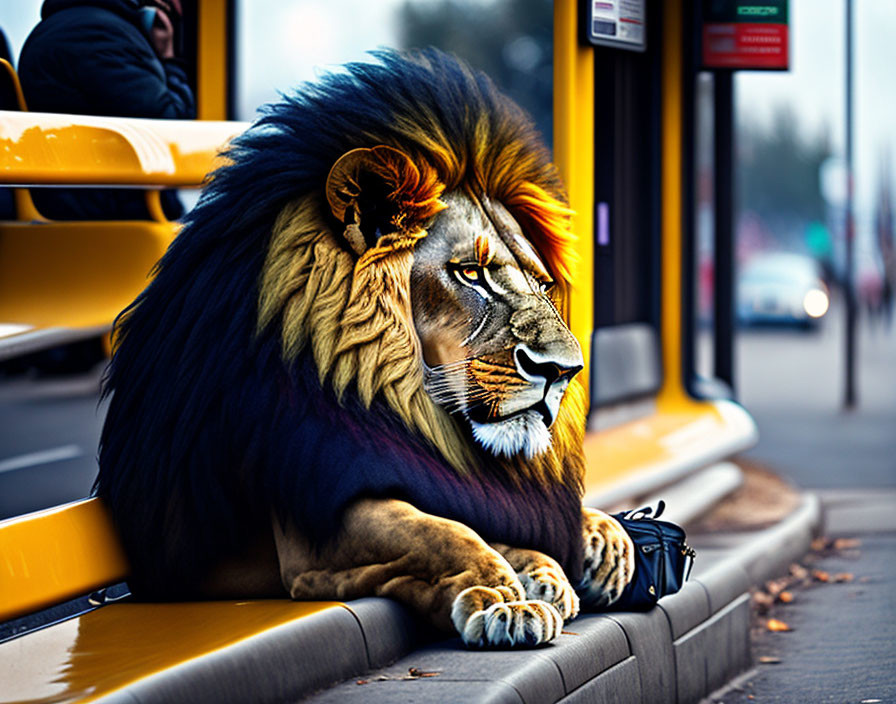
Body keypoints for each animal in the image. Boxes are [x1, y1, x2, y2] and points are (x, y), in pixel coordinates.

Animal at [96, 48, 632, 648]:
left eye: (541, 284)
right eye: (470, 273)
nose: (565, 370)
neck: (407, 401)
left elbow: (489, 518)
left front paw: (599, 546)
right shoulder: (314, 528)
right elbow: (443, 532)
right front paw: (507, 598)